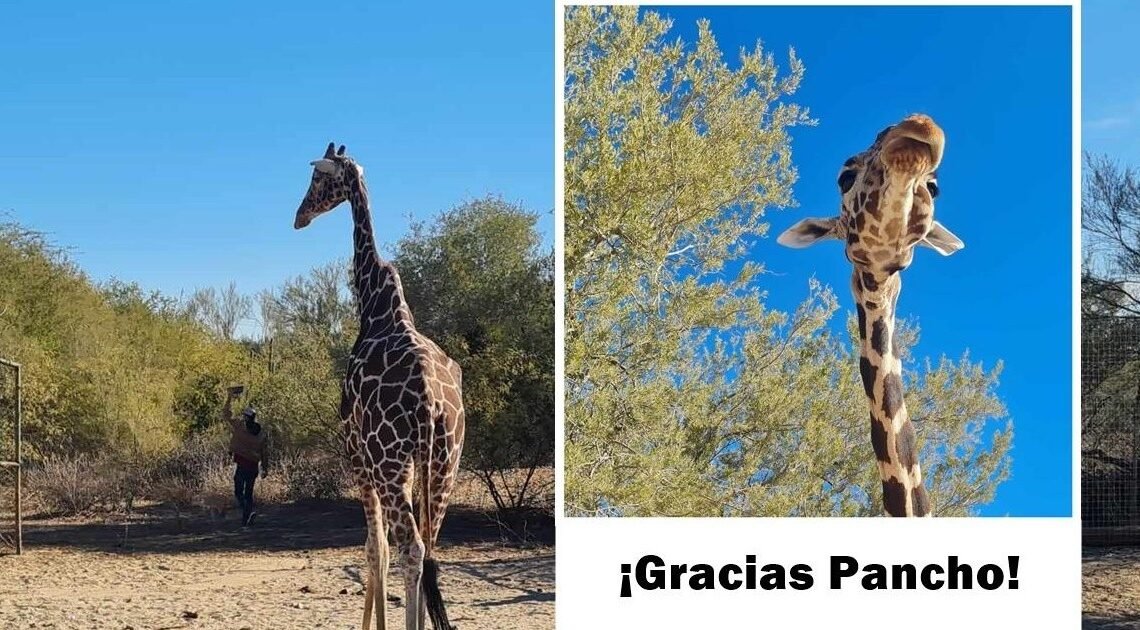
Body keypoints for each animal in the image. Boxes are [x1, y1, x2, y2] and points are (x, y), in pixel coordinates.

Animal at [293, 142, 465, 629]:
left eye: (317, 180)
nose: (299, 216)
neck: (372, 305)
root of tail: (430, 403)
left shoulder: (356, 454)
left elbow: (375, 548)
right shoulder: (402, 465)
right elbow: (380, 548)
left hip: (389, 464)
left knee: (411, 547)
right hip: (444, 463)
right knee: (430, 549)